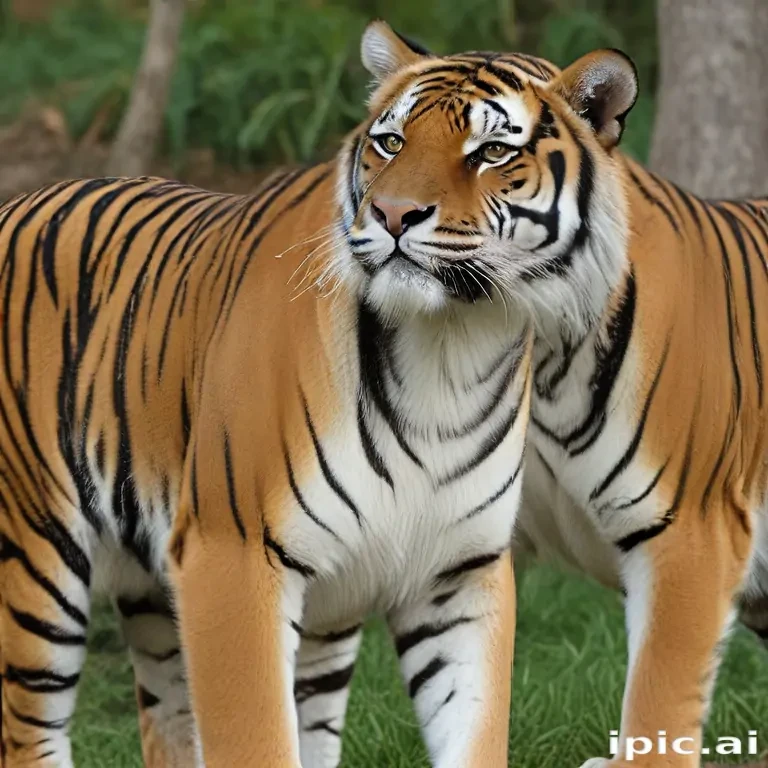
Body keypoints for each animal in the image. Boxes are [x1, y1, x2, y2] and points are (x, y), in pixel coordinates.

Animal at [0, 19, 557, 768]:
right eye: (391, 142)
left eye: (494, 152)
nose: (396, 216)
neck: (448, 353)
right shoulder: (230, 558)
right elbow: (258, 735)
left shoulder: (458, 571)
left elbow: (469, 728)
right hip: (37, 557)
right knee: (28, 731)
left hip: (158, 598)